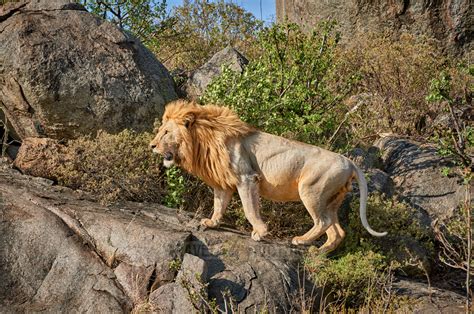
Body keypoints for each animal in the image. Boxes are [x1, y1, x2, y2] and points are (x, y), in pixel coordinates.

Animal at [150, 100, 386, 253]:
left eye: (166, 132)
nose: (151, 145)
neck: (203, 138)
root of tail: (350, 162)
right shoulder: (224, 182)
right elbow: (219, 204)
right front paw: (212, 222)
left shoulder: (246, 178)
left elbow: (249, 209)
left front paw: (260, 232)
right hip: (331, 199)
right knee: (337, 231)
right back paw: (320, 253)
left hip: (311, 190)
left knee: (323, 221)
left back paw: (300, 241)